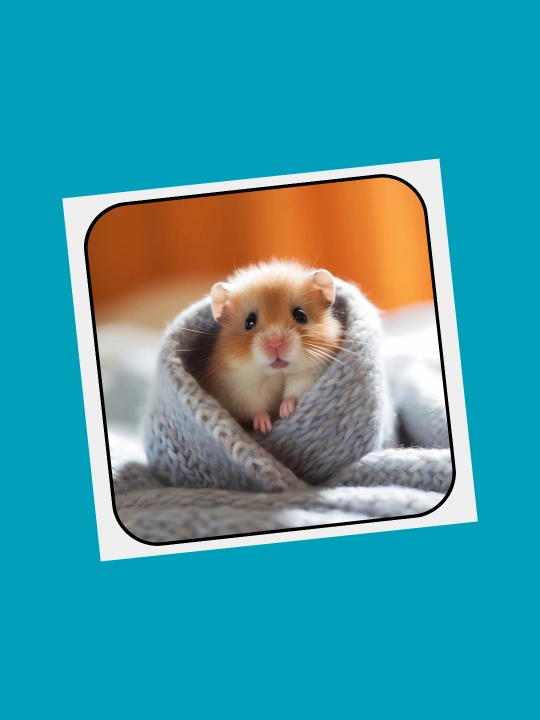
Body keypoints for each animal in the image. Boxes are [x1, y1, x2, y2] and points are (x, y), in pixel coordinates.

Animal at [202, 260, 343, 434]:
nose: (275, 343)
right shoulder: (239, 387)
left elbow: (295, 392)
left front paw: (284, 411)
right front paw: (264, 427)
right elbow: (255, 407)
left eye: (301, 315)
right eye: (249, 322)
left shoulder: (311, 373)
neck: (277, 373)